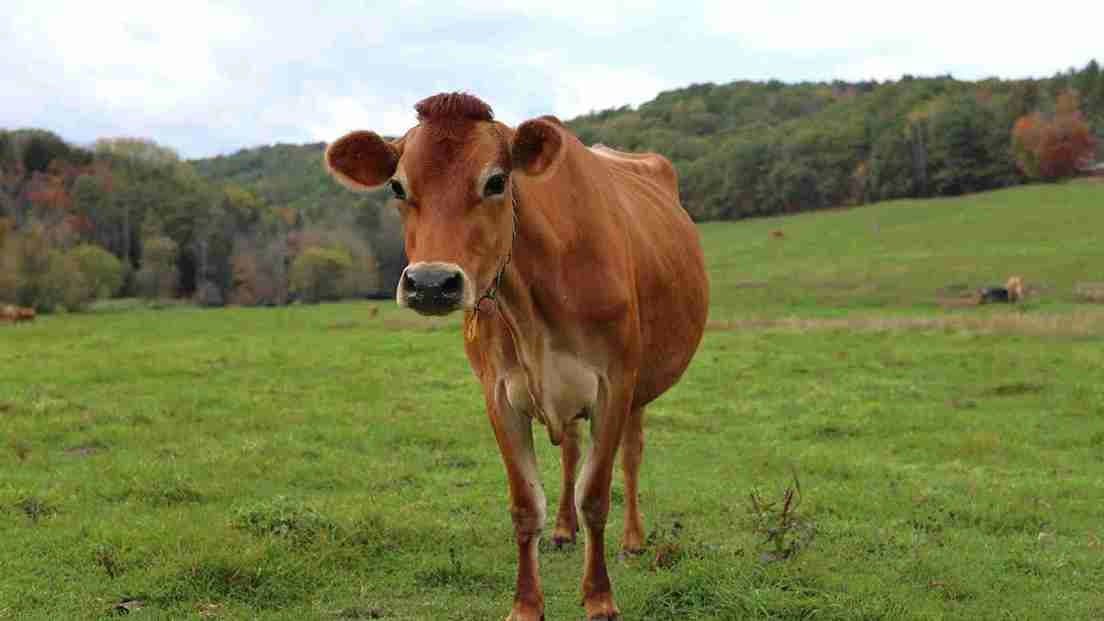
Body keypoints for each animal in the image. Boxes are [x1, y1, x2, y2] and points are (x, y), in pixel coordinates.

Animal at [325, 93, 709, 620]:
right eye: (398, 186)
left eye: (496, 181)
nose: (431, 283)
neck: (533, 308)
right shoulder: (500, 394)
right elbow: (526, 505)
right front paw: (527, 604)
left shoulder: (614, 384)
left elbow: (596, 496)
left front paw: (599, 598)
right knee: (570, 450)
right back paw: (564, 530)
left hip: (640, 387)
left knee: (630, 456)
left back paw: (633, 540)